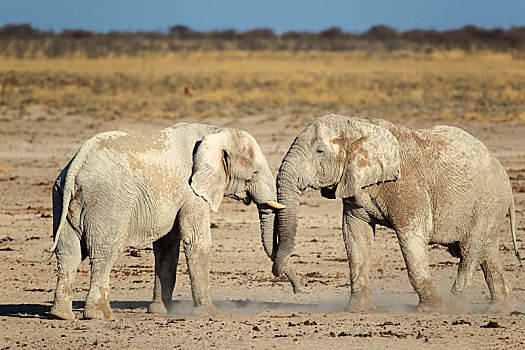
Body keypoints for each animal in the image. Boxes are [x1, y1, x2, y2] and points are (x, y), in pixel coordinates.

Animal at [48, 123, 294, 320]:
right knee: (105, 253)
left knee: (68, 253)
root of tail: (76, 165)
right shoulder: (192, 191)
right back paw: (100, 316)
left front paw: (160, 311)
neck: (215, 131)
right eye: (254, 173)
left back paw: (62, 315)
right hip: (107, 201)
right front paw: (211, 314)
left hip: (60, 198)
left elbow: (167, 246)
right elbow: (197, 242)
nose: (293, 288)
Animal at [264, 114, 520, 312]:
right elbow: (355, 235)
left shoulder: (408, 185)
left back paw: (456, 306)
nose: (295, 289)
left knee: (470, 250)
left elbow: (412, 236)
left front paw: (431, 309)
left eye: (319, 151)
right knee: (487, 253)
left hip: (488, 202)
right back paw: (501, 308)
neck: (359, 126)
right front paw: (358, 310)